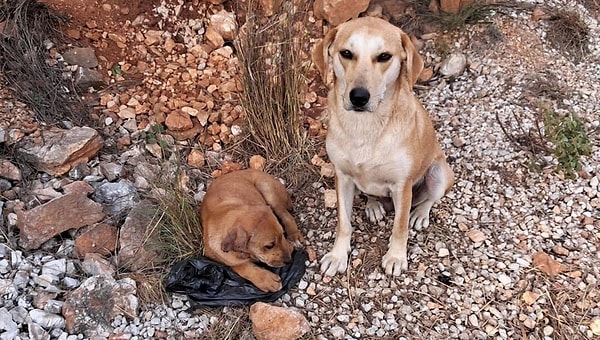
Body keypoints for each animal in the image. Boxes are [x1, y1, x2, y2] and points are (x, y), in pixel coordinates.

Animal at [314, 16, 454, 276]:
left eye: (384, 57)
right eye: (346, 53)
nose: (359, 97)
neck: (365, 127)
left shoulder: (402, 186)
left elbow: (399, 226)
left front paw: (396, 256)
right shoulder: (343, 177)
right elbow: (343, 223)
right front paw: (338, 255)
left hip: (439, 173)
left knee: (430, 199)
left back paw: (419, 214)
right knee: (370, 194)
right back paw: (374, 205)